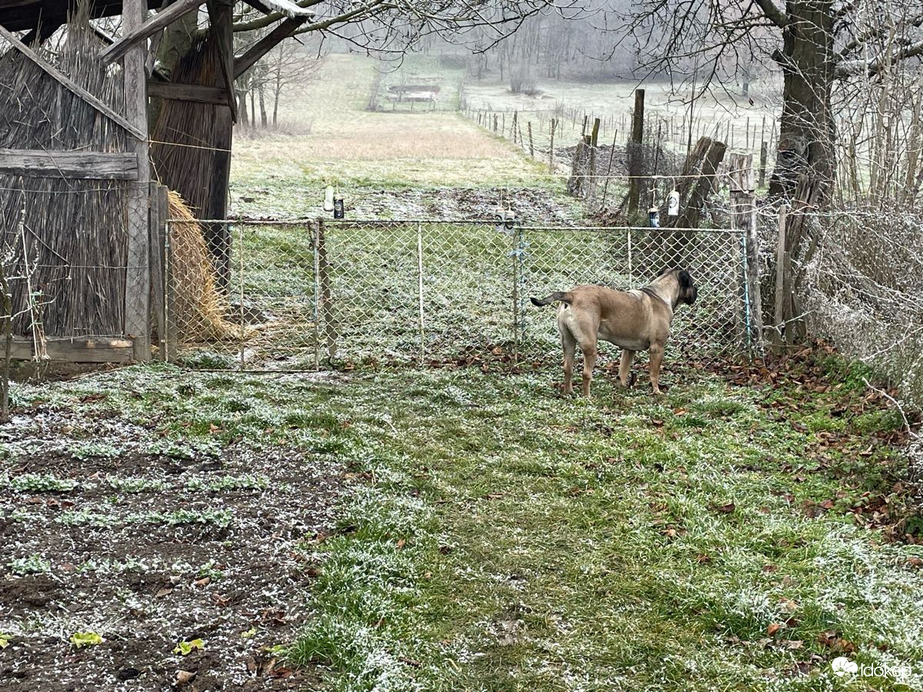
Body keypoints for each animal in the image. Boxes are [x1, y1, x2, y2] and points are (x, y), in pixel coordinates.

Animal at [532, 268, 696, 394]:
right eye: (692, 284)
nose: (697, 291)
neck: (661, 294)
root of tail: (571, 295)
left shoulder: (629, 350)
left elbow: (623, 370)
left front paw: (622, 387)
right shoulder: (657, 348)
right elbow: (654, 374)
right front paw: (656, 391)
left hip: (568, 342)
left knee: (567, 368)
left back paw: (569, 392)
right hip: (590, 345)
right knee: (586, 373)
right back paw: (587, 397)